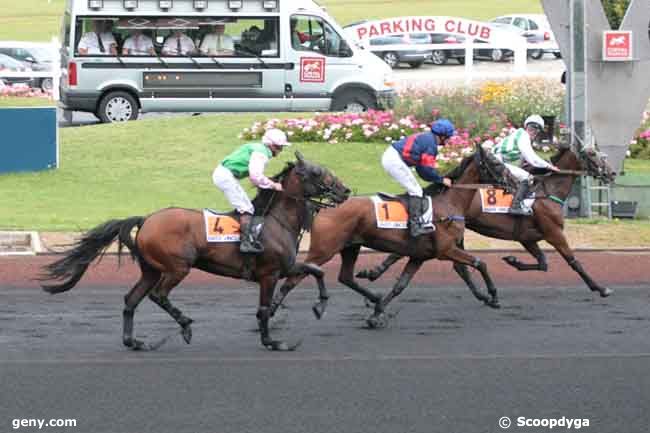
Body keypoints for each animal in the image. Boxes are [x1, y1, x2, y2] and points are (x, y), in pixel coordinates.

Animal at [40, 153, 350, 352]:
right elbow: (263, 310)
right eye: (317, 172)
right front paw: (273, 342)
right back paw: (185, 325)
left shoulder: (286, 267)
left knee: (131, 300)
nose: (345, 190)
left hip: (151, 270)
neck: (275, 221)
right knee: (158, 295)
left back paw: (136, 342)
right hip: (177, 267)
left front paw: (320, 305)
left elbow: (316, 270)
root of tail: (146, 219)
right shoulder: (269, 273)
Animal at [266, 143, 508, 326]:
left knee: (345, 277)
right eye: (496, 163)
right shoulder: (446, 249)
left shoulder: (420, 256)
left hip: (350, 246)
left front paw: (377, 313)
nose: (510, 182)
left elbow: (401, 285)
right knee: (294, 278)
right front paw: (494, 296)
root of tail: (324, 208)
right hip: (324, 250)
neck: (449, 203)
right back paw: (272, 311)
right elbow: (480, 263)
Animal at [356, 143, 616, 298]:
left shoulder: (527, 238)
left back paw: (373, 271)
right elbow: (574, 262)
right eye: (593, 154)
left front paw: (513, 260)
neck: (547, 191)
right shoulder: (554, 233)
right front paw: (600, 288)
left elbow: (542, 263)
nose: (612, 172)